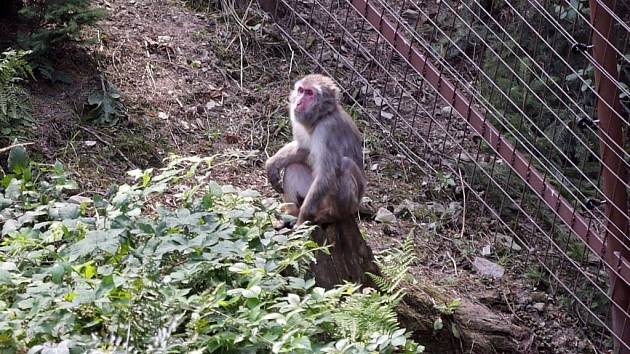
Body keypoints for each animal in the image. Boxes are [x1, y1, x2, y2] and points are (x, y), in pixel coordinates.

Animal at [266, 73, 366, 225]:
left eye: (309, 93)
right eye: (301, 90)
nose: (298, 102)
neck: (319, 118)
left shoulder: (328, 129)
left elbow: (326, 174)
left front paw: (302, 219)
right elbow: (303, 150)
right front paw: (272, 164)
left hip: (347, 204)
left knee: (344, 165)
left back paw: (330, 215)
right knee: (294, 166)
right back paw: (292, 212)